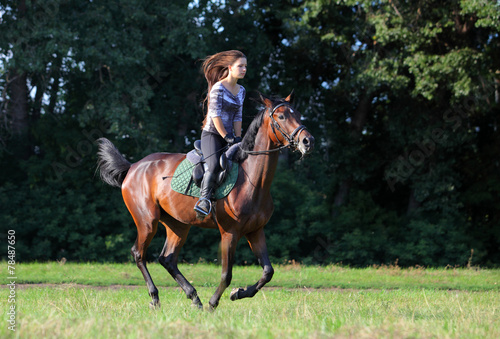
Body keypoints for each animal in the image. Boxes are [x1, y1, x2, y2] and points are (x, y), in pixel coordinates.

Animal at [96, 92, 312, 310]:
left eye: (298, 114)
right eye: (281, 117)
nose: (307, 141)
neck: (252, 179)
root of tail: (133, 167)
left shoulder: (255, 231)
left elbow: (268, 272)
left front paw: (238, 293)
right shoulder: (229, 233)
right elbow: (226, 274)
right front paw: (213, 302)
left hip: (178, 225)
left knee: (167, 259)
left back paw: (194, 297)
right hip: (147, 221)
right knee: (139, 253)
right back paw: (156, 297)